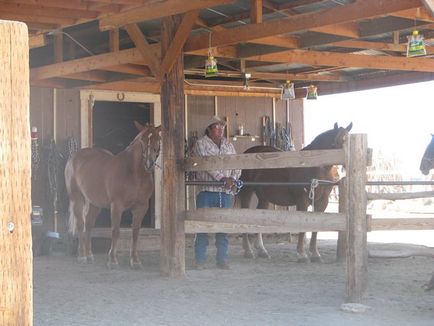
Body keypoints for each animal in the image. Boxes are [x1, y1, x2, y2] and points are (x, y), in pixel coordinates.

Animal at [63, 121, 160, 268]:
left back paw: (89, 255)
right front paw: (112, 260)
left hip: (94, 203)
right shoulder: (116, 206)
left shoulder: (141, 208)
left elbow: (135, 233)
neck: (134, 174)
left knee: (89, 225)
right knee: (80, 224)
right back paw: (82, 256)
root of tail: (73, 158)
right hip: (77, 199)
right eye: (142, 141)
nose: (149, 163)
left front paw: (135, 260)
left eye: (157, 139)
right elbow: (115, 231)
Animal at [237, 122, 352, 262]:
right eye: (336, 142)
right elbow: (302, 226)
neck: (315, 167)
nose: (345, 166)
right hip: (247, 192)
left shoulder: (322, 202)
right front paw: (302, 254)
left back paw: (262, 250)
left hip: (264, 197)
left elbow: (316, 227)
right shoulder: (302, 201)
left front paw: (315, 254)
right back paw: (248, 251)